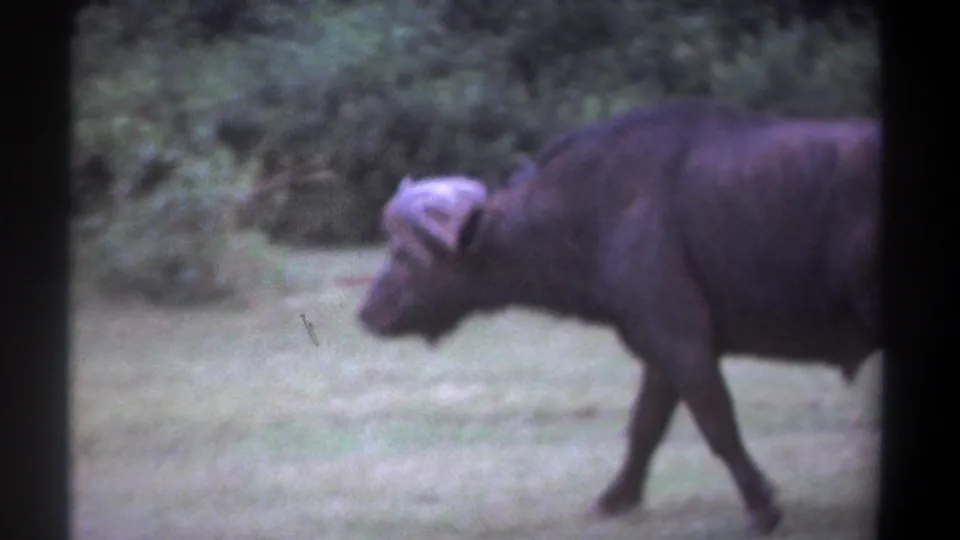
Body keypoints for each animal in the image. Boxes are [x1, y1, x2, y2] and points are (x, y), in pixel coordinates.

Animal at [356, 98, 881, 534]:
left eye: (402, 254)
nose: (366, 312)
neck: (595, 209)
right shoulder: (658, 348)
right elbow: (644, 427)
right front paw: (615, 499)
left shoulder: (680, 339)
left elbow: (717, 423)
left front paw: (761, 506)